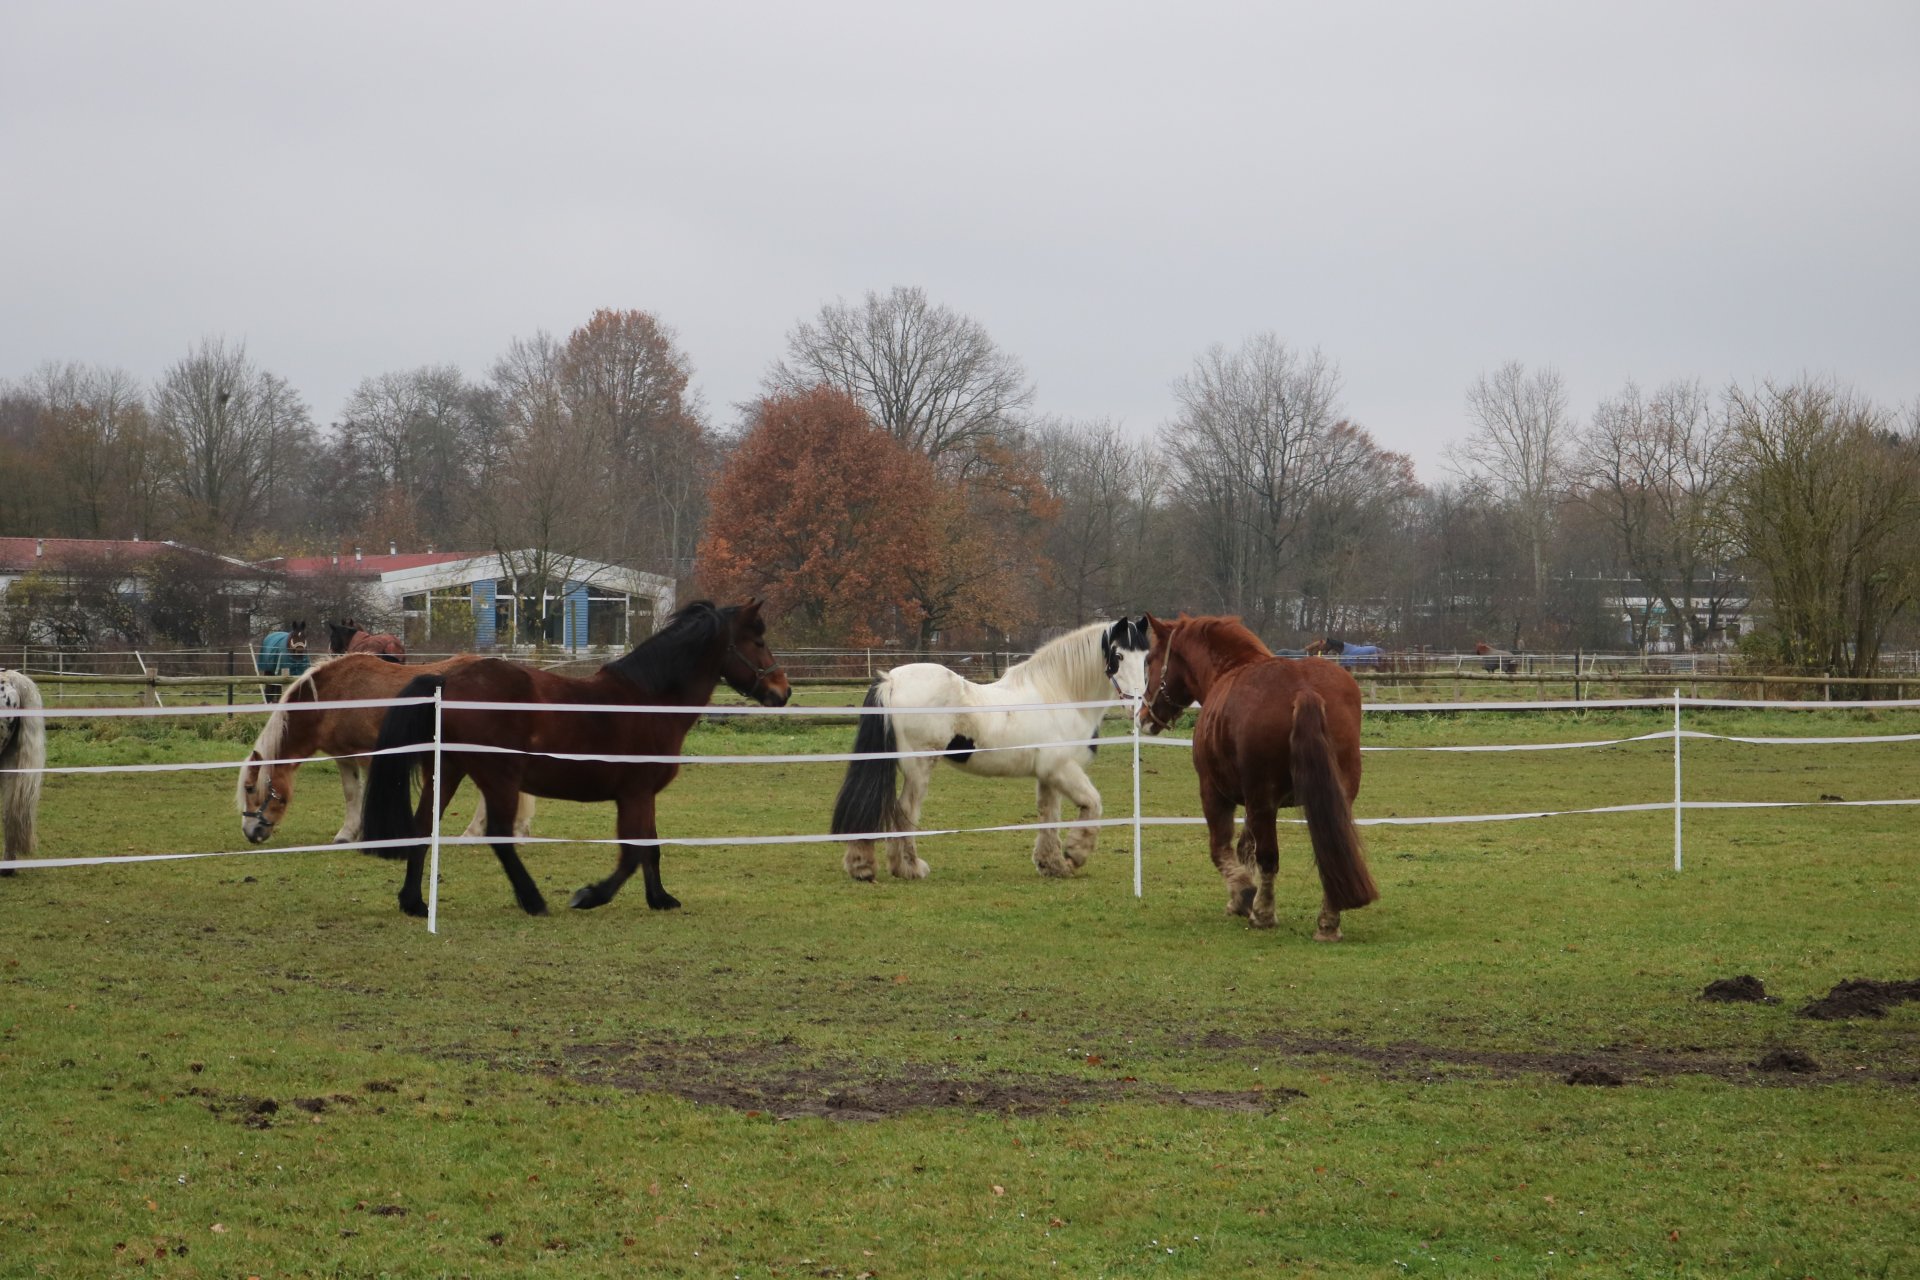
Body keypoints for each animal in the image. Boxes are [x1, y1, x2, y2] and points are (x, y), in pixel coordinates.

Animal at [237, 654, 535, 846]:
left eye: (250, 788)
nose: (250, 833)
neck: (331, 697)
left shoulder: (368, 754)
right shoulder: (345, 756)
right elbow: (351, 793)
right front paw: (348, 834)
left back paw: (472, 834)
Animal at [359, 599, 790, 918]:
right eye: (758, 641)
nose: (782, 691)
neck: (650, 701)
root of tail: (448, 681)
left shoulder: (644, 794)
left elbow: (650, 846)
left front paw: (660, 898)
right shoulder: (634, 794)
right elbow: (632, 852)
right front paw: (590, 895)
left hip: (447, 771)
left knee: (421, 827)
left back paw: (413, 902)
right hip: (499, 779)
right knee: (498, 834)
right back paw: (533, 900)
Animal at [829, 616, 1152, 882]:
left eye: (1146, 658)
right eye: (1119, 656)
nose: (1137, 706)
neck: (1058, 694)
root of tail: (891, 680)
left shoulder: (1048, 776)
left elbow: (1049, 816)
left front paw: (1052, 864)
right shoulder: (1062, 769)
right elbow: (1093, 804)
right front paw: (1075, 853)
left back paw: (862, 865)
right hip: (919, 767)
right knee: (904, 811)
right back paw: (908, 868)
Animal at [1139, 613, 1378, 940]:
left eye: (1150, 659)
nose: (1143, 717)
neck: (1227, 670)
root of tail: (1303, 690)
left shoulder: (1216, 793)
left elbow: (1223, 849)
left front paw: (1243, 895)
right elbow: (1245, 847)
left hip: (1260, 799)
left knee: (1269, 857)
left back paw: (1263, 914)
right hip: (1333, 796)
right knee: (1332, 849)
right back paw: (1328, 921)